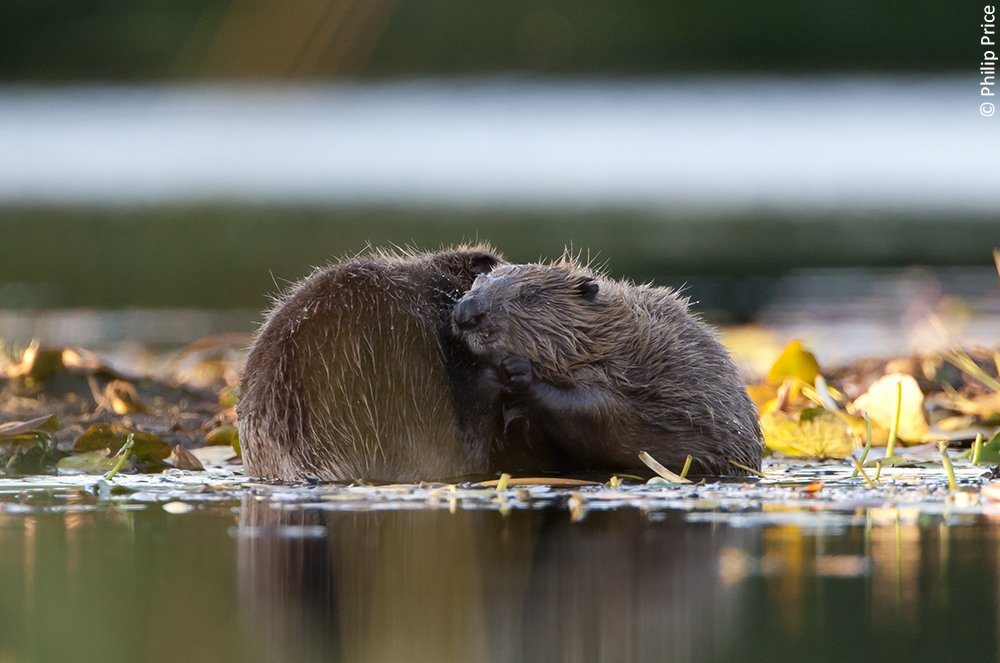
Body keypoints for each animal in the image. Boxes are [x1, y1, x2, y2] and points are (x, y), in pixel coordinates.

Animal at [454, 258, 764, 478]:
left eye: (530, 295)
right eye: (477, 281)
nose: (467, 311)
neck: (609, 335)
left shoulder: (627, 379)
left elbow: (595, 410)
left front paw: (516, 370)